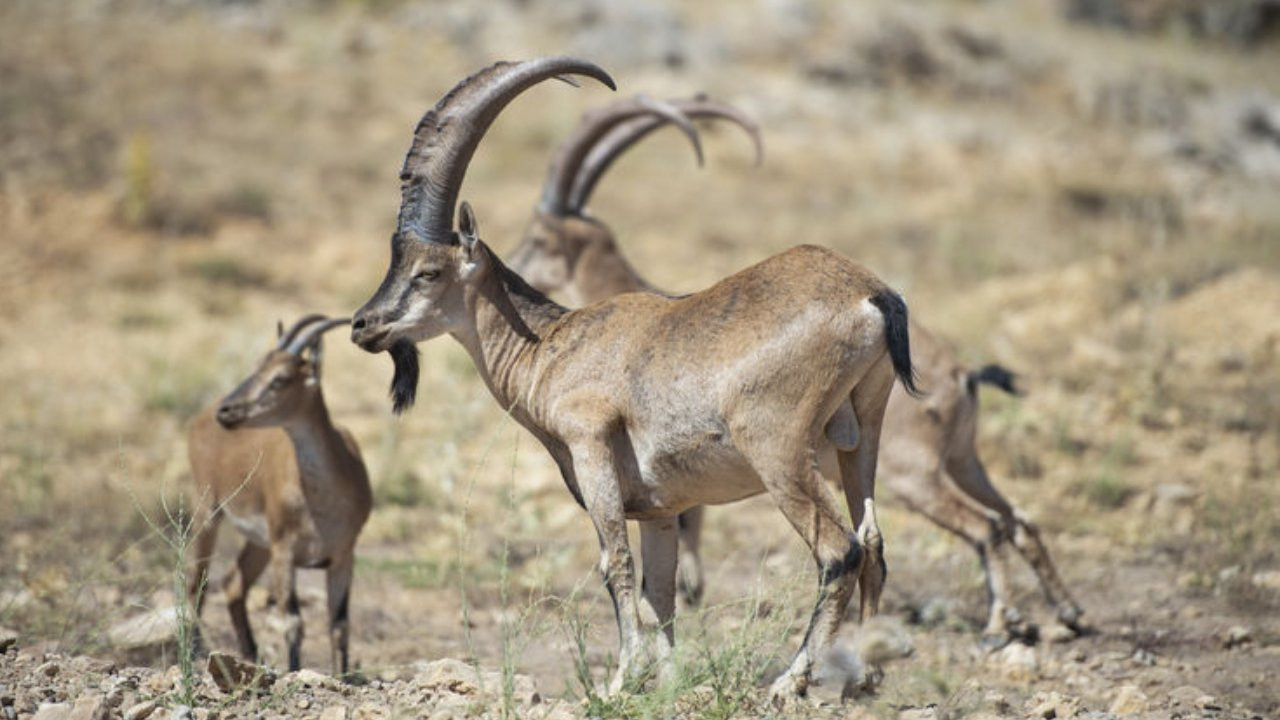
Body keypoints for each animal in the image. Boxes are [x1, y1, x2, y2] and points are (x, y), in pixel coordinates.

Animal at [186, 311, 373, 671]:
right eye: (257, 366)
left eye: (281, 378)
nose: (227, 411)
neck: (322, 502)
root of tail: (199, 419)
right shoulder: (284, 551)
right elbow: (294, 622)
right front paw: (295, 671)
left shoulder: (343, 555)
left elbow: (339, 626)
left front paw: (341, 675)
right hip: (208, 511)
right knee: (196, 581)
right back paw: (192, 651)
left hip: (259, 544)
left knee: (233, 583)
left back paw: (251, 655)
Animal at [350, 57, 921, 702]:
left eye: (428, 271)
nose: (364, 325)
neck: (550, 346)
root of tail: (872, 294)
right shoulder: (661, 507)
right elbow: (659, 591)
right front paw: (668, 683)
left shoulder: (592, 448)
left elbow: (616, 564)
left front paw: (621, 679)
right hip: (860, 434)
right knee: (872, 540)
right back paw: (863, 678)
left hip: (778, 448)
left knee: (838, 550)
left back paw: (790, 681)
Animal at [504, 94, 1085, 638]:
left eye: (537, 238)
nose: (512, 265)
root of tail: (962, 377)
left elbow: (687, 520)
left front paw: (691, 588)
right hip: (963, 461)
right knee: (1018, 521)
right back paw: (1067, 613)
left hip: (910, 474)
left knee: (986, 528)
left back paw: (999, 622)